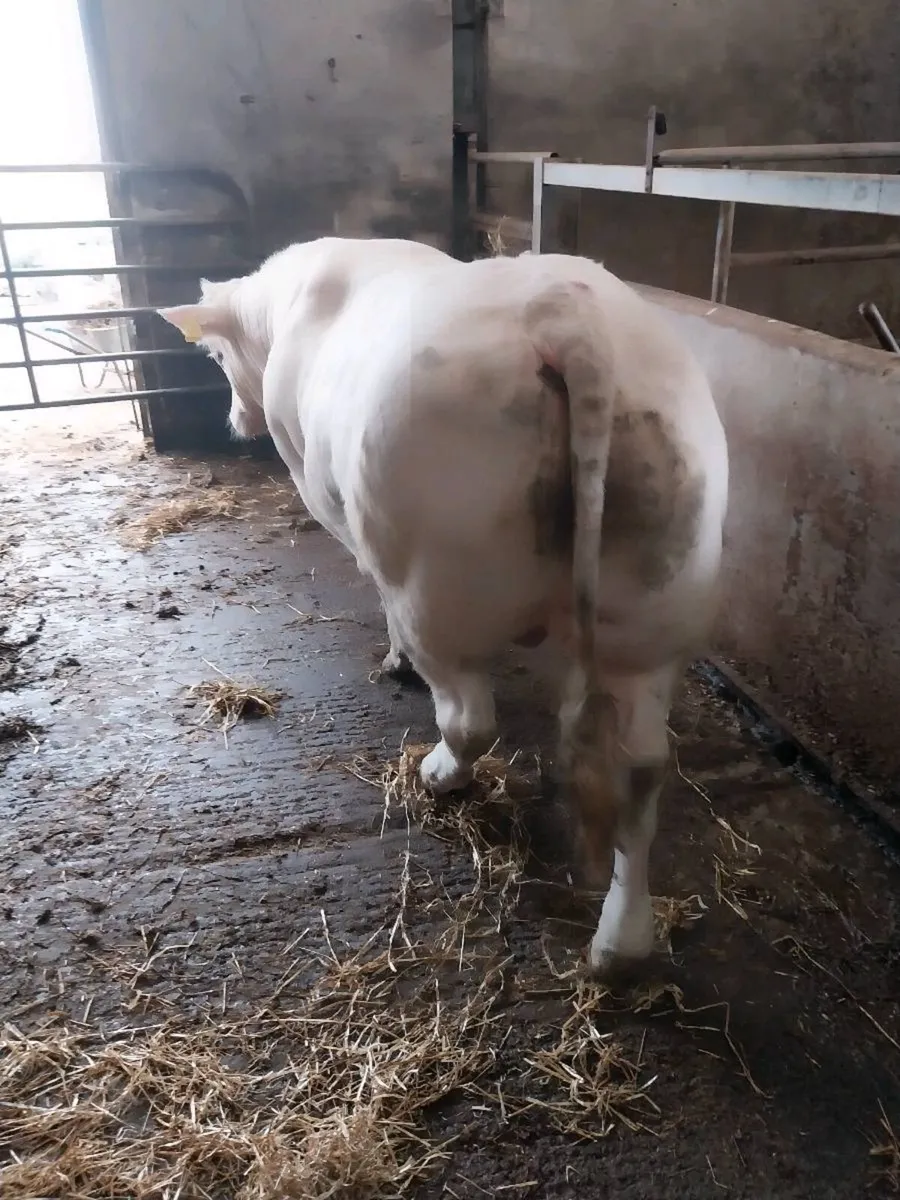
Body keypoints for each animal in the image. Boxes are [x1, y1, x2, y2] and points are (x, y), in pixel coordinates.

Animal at [159, 236, 729, 975]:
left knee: (468, 718)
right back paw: (620, 943)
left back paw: (436, 773)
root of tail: (568, 316)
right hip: (656, 602)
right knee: (640, 771)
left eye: (218, 358)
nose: (235, 420)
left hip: (435, 581)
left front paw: (394, 659)